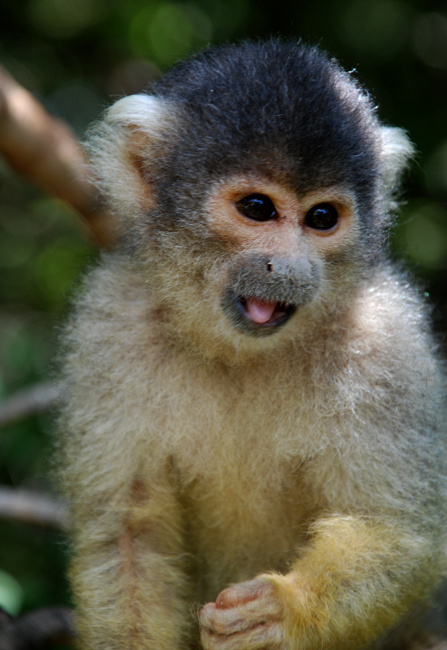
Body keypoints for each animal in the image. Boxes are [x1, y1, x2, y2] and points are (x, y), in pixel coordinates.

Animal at [57, 40, 447, 650]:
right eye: (258, 209)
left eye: (322, 217)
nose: (288, 267)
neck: (239, 352)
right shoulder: (110, 321)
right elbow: (127, 534)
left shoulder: (387, 339)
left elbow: (398, 532)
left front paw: (283, 611)